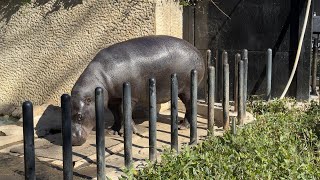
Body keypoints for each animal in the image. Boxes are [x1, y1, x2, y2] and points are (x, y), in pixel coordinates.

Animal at [71, 35, 204, 146]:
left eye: (79, 117)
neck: (100, 79)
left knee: (189, 106)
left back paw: (182, 126)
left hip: (187, 90)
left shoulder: (131, 96)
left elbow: (125, 112)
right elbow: (116, 113)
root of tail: (197, 50)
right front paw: (112, 131)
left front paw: (127, 133)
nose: (73, 140)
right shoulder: (112, 100)